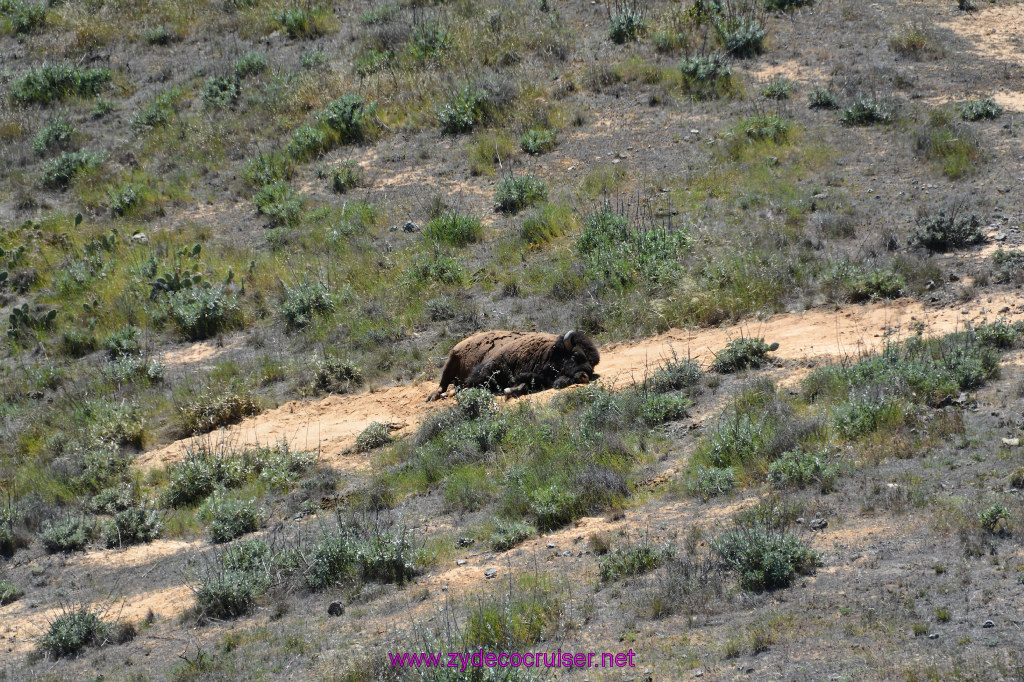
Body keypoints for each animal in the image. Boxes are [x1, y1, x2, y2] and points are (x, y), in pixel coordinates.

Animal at [425, 327, 598, 399]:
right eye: (575, 355)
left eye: (594, 364)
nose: (584, 376)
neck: (548, 351)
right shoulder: (490, 367)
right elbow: (473, 383)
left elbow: (522, 386)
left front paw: (509, 390)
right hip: (451, 361)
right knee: (443, 384)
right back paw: (436, 396)